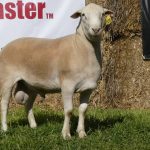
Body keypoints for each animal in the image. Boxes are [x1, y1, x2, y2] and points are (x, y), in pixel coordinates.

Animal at [0, 3, 112, 139]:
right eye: (83, 15)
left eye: (103, 14)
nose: (95, 29)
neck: (80, 48)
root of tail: (5, 46)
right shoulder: (67, 85)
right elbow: (68, 111)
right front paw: (66, 134)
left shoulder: (88, 88)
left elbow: (83, 110)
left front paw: (81, 133)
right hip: (7, 79)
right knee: (4, 104)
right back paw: (5, 129)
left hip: (30, 85)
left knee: (28, 104)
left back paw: (33, 126)